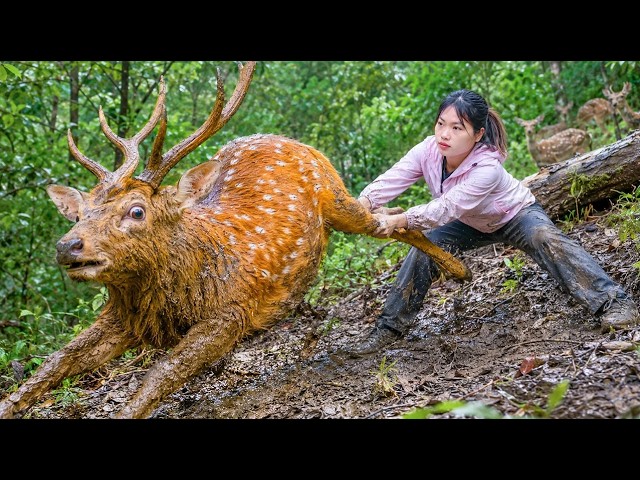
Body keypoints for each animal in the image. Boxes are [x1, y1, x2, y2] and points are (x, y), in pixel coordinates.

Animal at [0, 61, 471, 419]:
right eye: (79, 212)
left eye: (136, 211)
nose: (67, 246)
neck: (173, 293)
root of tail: (289, 139)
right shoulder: (123, 317)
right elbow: (55, 363)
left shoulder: (232, 312)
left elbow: (162, 372)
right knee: (390, 212)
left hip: (335, 195)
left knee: (392, 220)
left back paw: (459, 268)